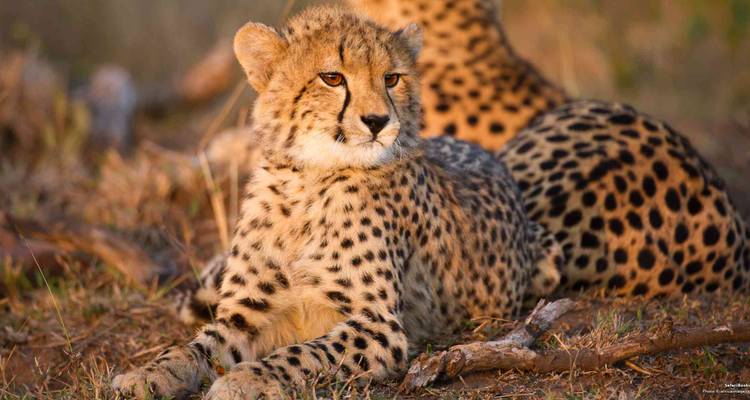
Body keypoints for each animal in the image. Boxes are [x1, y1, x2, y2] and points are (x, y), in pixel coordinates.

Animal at [112, 6, 562, 399]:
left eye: (392, 78)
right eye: (332, 78)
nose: (378, 121)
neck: (308, 181)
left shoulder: (379, 326)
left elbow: (301, 354)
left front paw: (246, 380)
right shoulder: (247, 312)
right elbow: (194, 347)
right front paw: (149, 374)